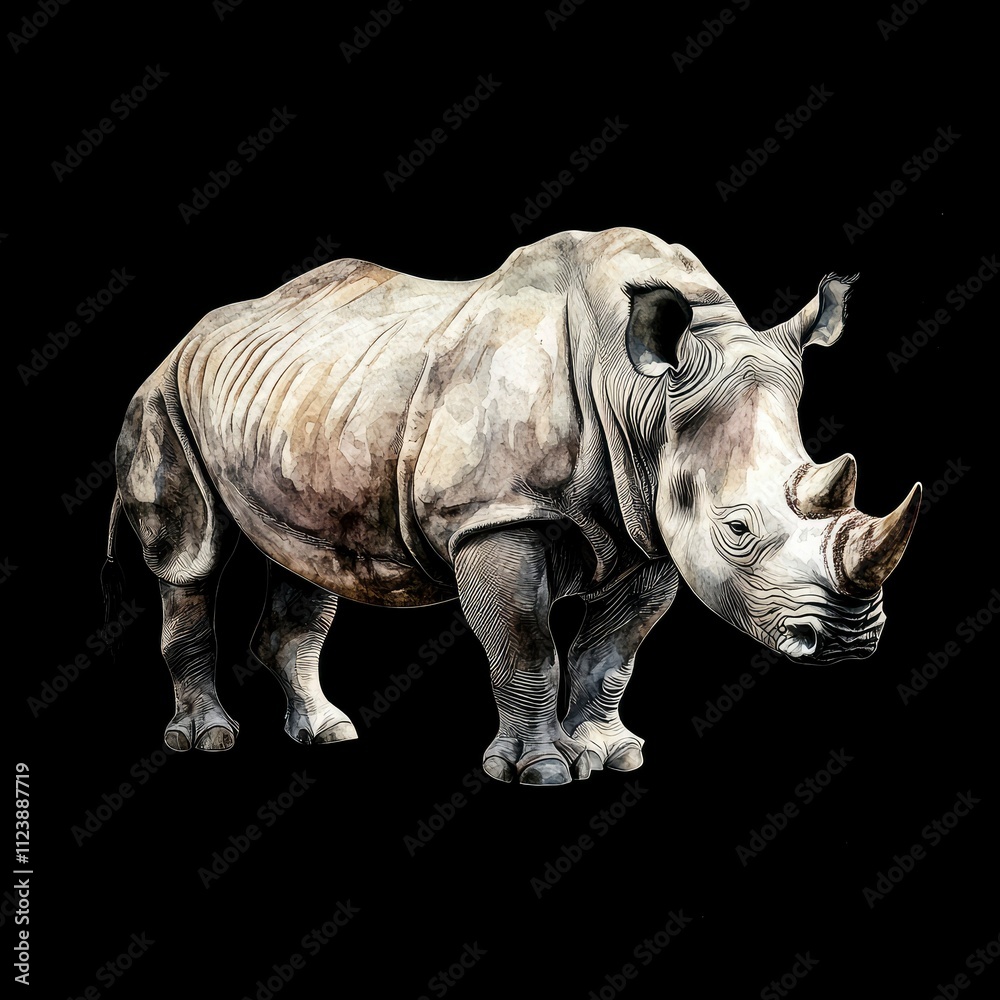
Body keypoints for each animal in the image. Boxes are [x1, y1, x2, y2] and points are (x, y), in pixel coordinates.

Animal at [106, 227, 920, 785]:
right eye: (738, 528)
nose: (848, 642)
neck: (641, 394)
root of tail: (191, 334)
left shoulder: (650, 522)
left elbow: (613, 651)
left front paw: (611, 754)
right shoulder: (495, 518)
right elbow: (527, 644)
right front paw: (542, 771)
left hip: (303, 402)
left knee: (306, 561)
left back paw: (329, 733)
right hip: (162, 395)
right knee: (190, 558)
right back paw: (207, 740)